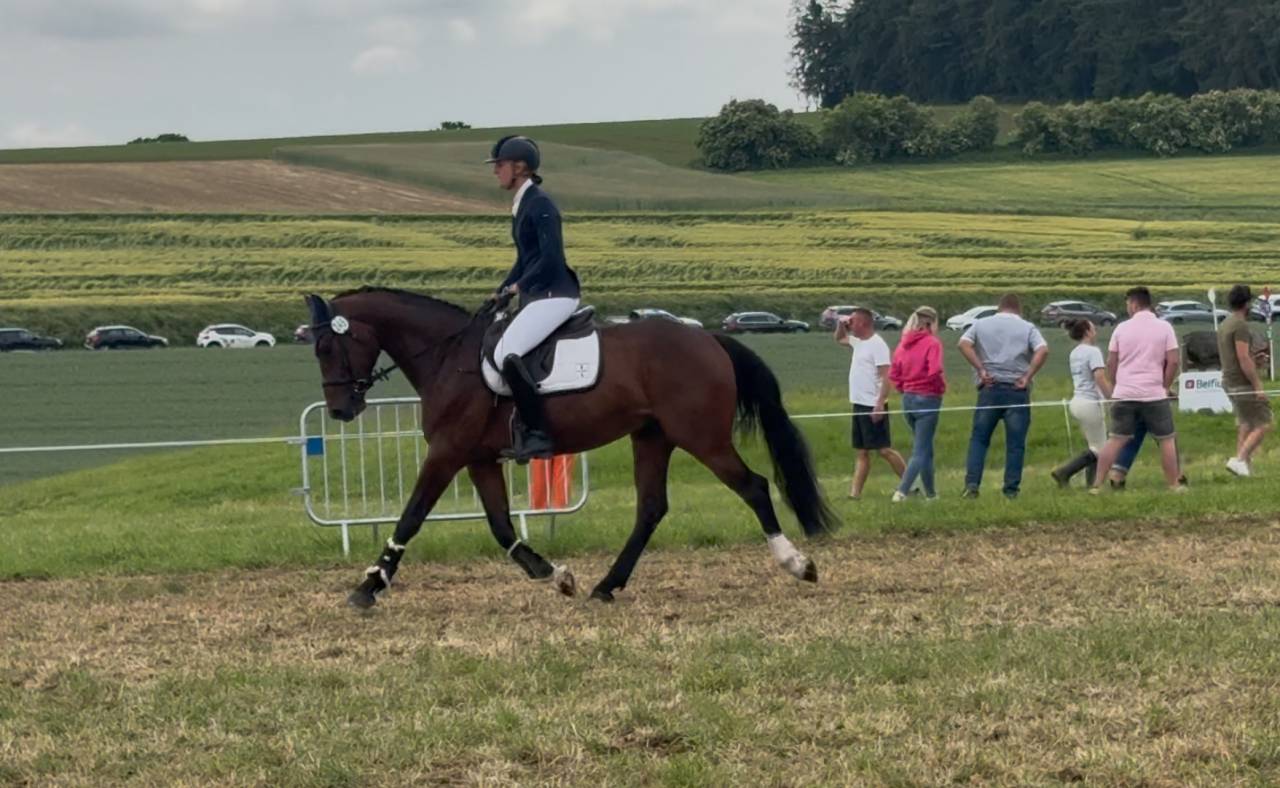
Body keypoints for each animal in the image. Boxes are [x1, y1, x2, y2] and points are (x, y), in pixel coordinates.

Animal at [304, 287, 839, 609]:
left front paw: (370, 585)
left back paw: (797, 564)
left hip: (700, 436)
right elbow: (500, 525)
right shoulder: (478, 459)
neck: (447, 357)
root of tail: (707, 338)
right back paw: (606, 586)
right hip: (653, 437)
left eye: (326, 348)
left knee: (754, 486)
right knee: (651, 508)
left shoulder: (447, 452)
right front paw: (553, 572)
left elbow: (411, 517)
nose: (340, 411)